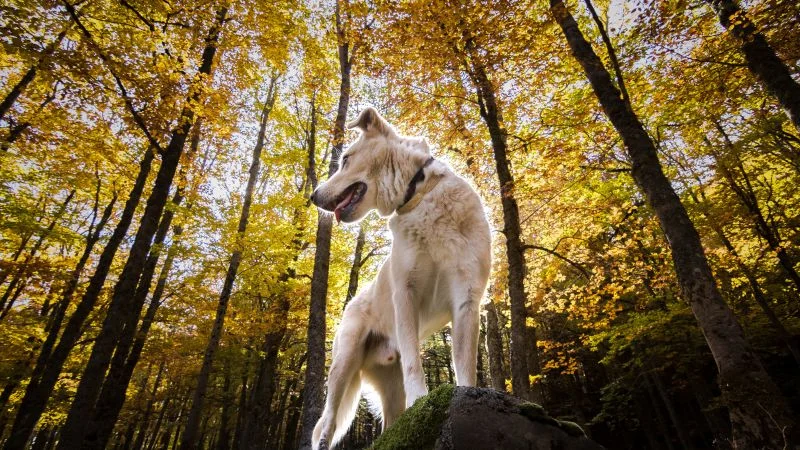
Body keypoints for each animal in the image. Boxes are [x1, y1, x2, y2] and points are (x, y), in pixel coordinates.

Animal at [310, 107, 490, 448]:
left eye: (345, 160)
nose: (313, 197)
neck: (418, 193)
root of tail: (350, 304)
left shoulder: (467, 299)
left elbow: (465, 365)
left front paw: (466, 395)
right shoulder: (406, 294)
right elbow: (413, 363)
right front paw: (422, 398)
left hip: (389, 390)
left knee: (388, 425)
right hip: (344, 363)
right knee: (326, 422)